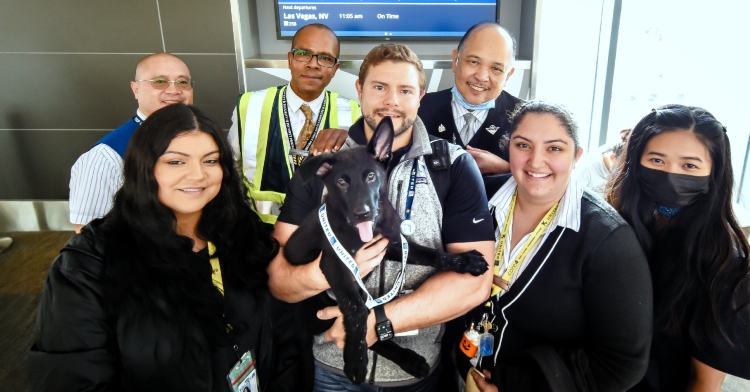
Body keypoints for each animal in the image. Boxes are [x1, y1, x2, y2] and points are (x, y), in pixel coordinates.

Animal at [284, 116, 490, 382]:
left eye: (371, 176)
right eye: (341, 182)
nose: (363, 213)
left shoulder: (391, 245)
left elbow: (432, 254)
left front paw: (466, 261)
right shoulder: (333, 263)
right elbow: (357, 311)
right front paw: (356, 360)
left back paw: (410, 361)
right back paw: (403, 360)